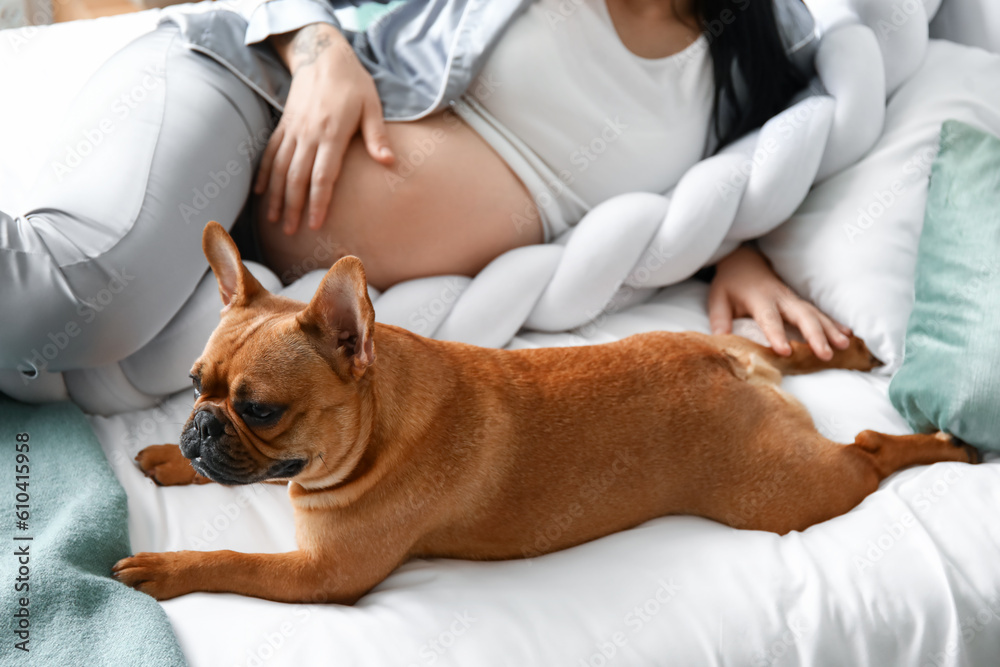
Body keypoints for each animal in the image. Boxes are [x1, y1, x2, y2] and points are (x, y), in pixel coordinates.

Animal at [111, 223, 976, 604]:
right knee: (783, 348)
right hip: (728, 347)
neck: (378, 417)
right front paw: (170, 457)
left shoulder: (321, 573)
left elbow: (233, 560)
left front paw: (167, 566)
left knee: (867, 447)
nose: (199, 426)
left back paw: (943, 444)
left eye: (260, 409)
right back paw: (844, 350)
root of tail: (725, 368)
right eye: (195, 385)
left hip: (782, 492)